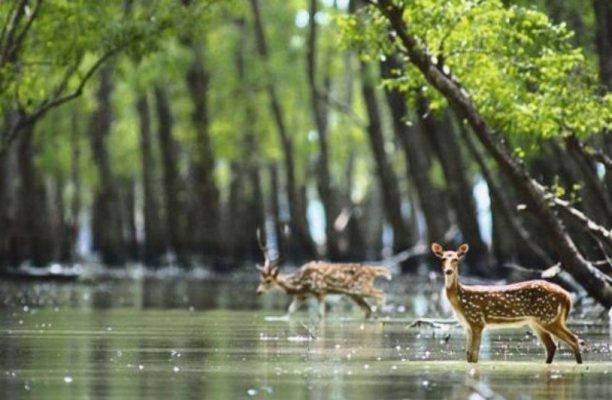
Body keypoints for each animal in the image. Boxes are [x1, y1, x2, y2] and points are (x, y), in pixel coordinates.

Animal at [255, 233, 392, 318]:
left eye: (268, 280)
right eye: (260, 279)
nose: (258, 292)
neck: (299, 283)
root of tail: (373, 270)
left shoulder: (320, 291)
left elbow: (321, 315)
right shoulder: (302, 296)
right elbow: (289, 312)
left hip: (360, 287)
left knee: (381, 293)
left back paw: (381, 311)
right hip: (354, 294)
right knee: (367, 309)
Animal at [430, 242, 584, 364]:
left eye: (456, 259)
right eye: (443, 258)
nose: (448, 271)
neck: (460, 300)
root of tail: (566, 296)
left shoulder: (477, 321)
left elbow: (474, 355)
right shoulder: (468, 325)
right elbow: (468, 355)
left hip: (549, 317)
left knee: (574, 339)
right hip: (537, 322)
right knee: (552, 346)